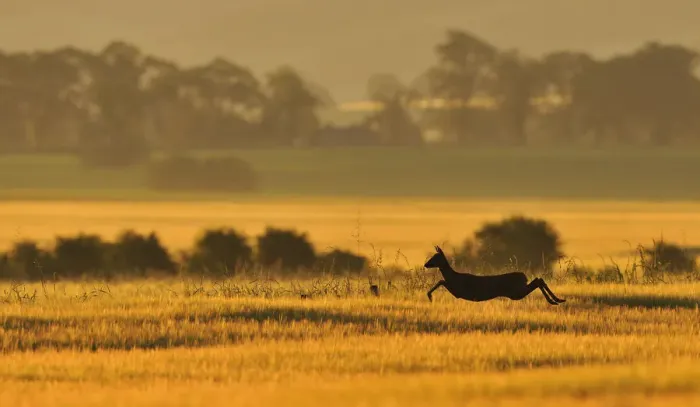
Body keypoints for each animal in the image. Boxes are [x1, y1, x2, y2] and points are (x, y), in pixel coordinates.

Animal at [423, 246, 565, 305]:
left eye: (435, 257)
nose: (425, 264)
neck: (453, 276)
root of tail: (523, 276)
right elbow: (441, 281)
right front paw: (429, 296)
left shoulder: (458, 291)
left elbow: (441, 281)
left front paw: (430, 296)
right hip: (517, 291)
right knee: (539, 279)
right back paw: (558, 300)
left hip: (515, 292)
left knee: (538, 281)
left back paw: (554, 300)